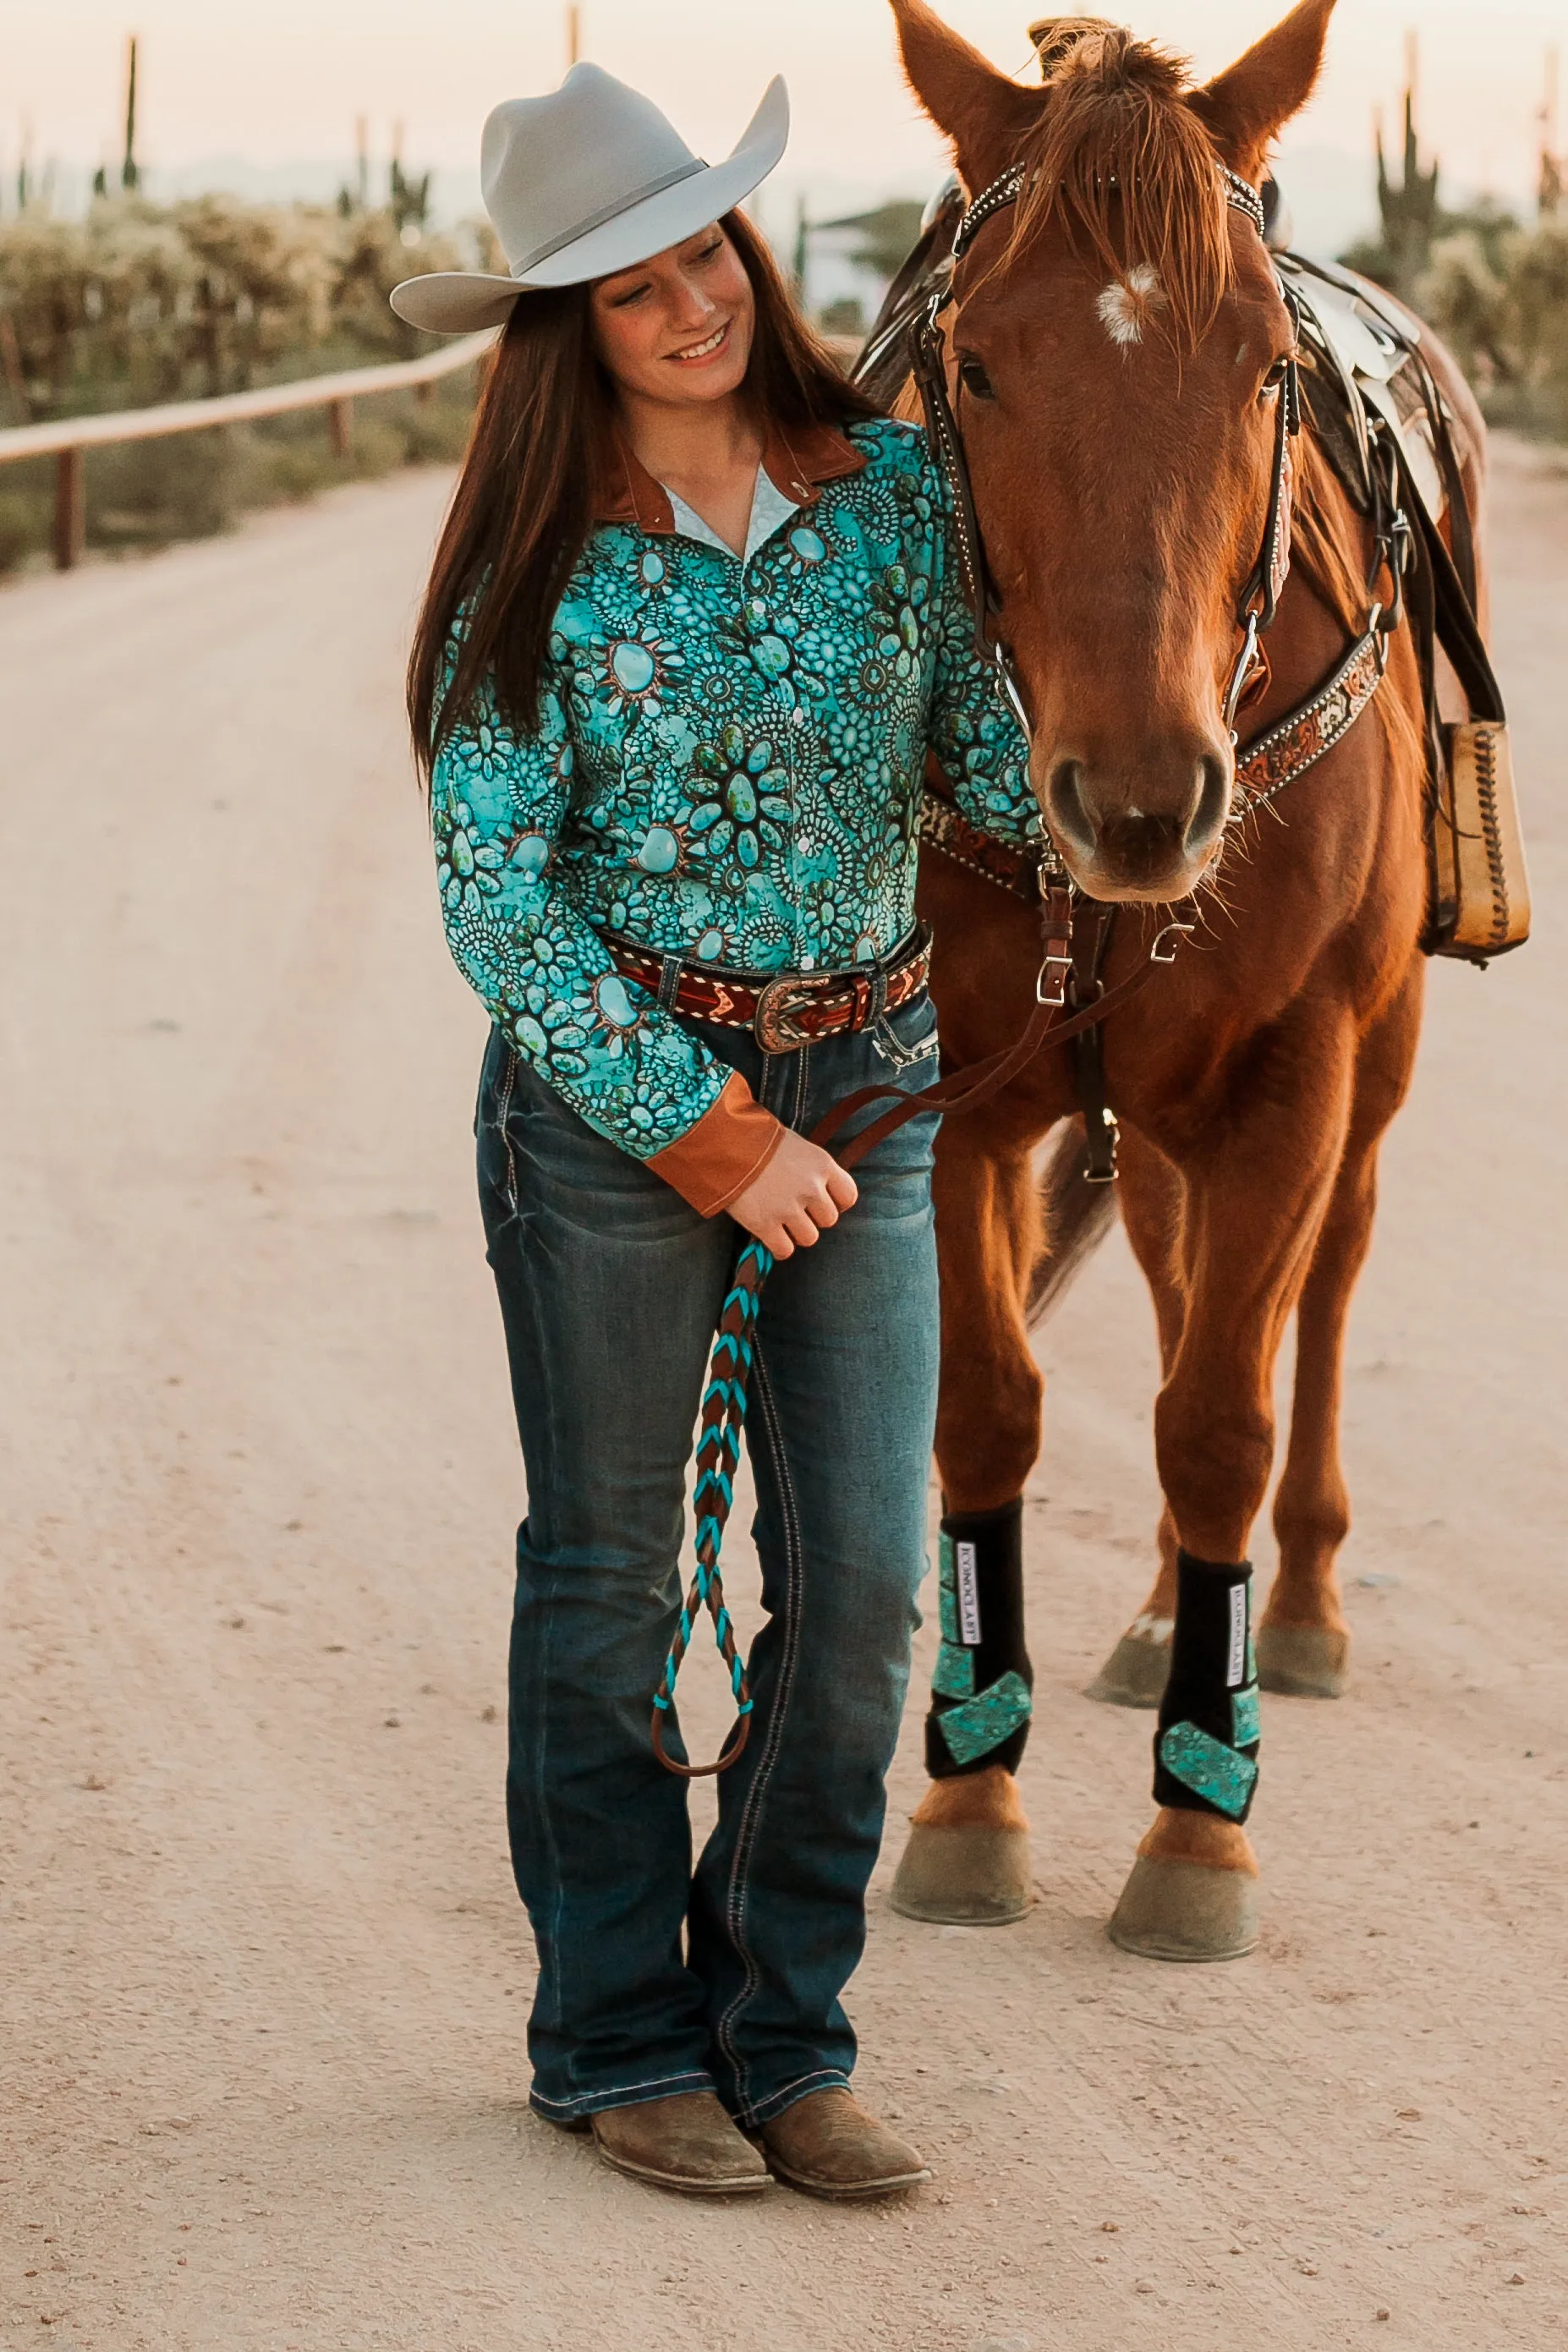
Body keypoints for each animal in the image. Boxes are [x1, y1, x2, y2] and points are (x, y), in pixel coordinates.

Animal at [879, 0, 1494, 1965]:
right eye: (976, 363)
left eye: (1258, 367)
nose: (1143, 800)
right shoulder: (957, 1101)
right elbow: (984, 1409)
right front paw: (967, 1794)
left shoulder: (1288, 1071)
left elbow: (1221, 1418)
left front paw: (1196, 1834)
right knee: (1169, 1271)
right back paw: (1163, 1607)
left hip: (1360, 1073)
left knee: (1316, 1285)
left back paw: (1282, 1608)